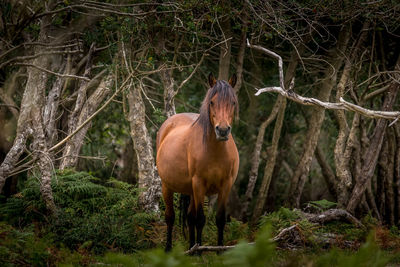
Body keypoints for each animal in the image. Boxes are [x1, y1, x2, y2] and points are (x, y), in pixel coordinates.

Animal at [155, 73, 238, 253]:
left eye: (233, 102)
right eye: (212, 102)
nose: (222, 131)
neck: (215, 152)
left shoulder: (226, 186)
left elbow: (219, 219)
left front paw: (218, 251)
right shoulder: (199, 184)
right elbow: (200, 219)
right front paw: (199, 252)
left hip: (191, 191)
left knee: (189, 216)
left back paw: (191, 248)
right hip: (168, 186)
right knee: (170, 217)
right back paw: (169, 249)